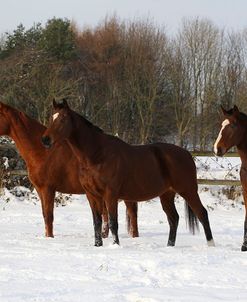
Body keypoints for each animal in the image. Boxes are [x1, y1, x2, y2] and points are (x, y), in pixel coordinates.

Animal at [0, 101, 139, 238]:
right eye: (51, 118)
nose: (45, 140)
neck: (43, 153)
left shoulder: (48, 189)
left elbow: (49, 216)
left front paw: (50, 238)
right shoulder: (40, 190)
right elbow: (45, 215)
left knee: (132, 213)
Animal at [42, 99, 214, 248]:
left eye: (63, 119)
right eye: (51, 118)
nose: (45, 139)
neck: (97, 155)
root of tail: (186, 154)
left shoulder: (110, 195)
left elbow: (113, 223)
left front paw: (115, 245)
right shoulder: (92, 195)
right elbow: (97, 222)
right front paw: (97, 245)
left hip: (188, 190)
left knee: (202, 213)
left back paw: (211, 244)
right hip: (166, 194)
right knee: (173, 219)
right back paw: (169, 246)